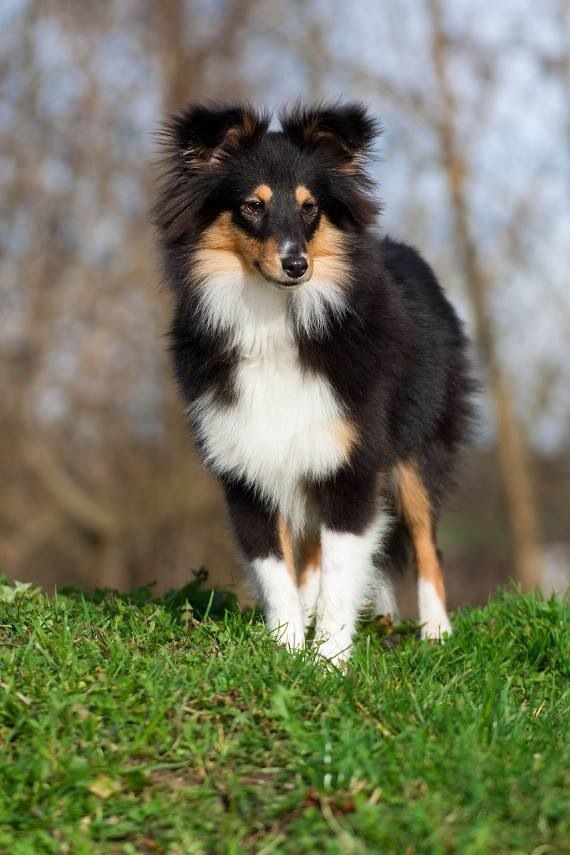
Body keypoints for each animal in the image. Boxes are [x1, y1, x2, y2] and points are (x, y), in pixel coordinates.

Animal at [153, 98, 472, 664]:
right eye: (252, 206)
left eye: (309, 208)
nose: (296, 264)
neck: (275, 319)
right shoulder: (248, 467)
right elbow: (276, 570)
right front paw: (286, 649)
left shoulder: (353, 464)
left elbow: (343, 570)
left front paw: (327, 660)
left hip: (417, 450)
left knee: (424, 540)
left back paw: (436, 633)